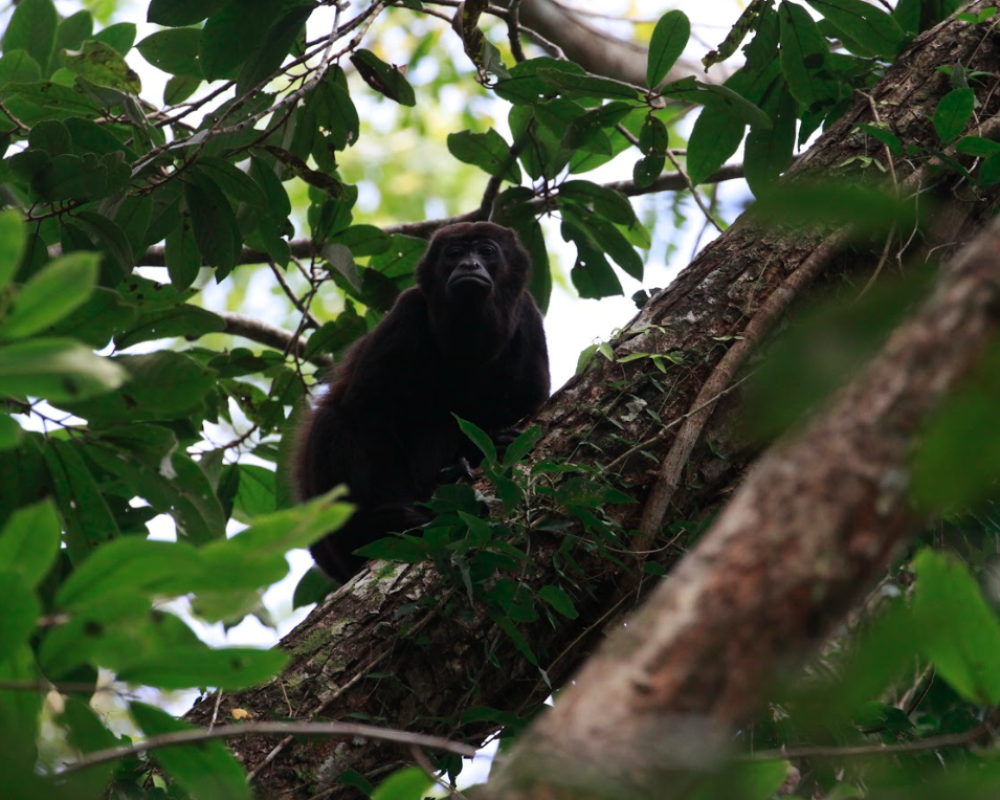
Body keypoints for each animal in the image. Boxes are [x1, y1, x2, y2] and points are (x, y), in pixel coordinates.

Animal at [293, 222, 550, 583]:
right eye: (454, 253)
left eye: (486, 251)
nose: (469, 265)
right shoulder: (407, 309)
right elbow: (367, 410)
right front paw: (403, 515)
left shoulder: (528, 314)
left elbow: (529, 403)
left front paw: (497, 443)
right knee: (332, 420)